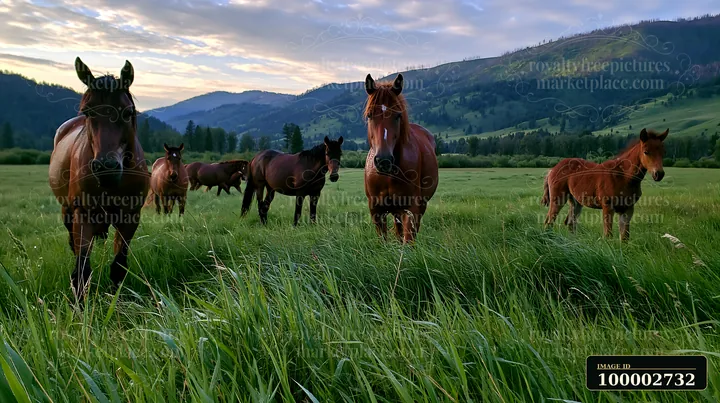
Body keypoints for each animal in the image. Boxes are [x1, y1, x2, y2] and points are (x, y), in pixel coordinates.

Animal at [48, 57, 149, 299]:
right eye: (88, 112)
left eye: (127, 112)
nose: (106, 167)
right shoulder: (83, 214)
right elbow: (81, 269)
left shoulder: (130, 217)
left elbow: (119, 266)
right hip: (68, 212)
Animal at [363, 73, 439, 243]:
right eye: (370, 115)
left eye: (397, 115)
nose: (383, 160)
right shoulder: (376, 211)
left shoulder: (411, 208)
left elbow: (408, 241)